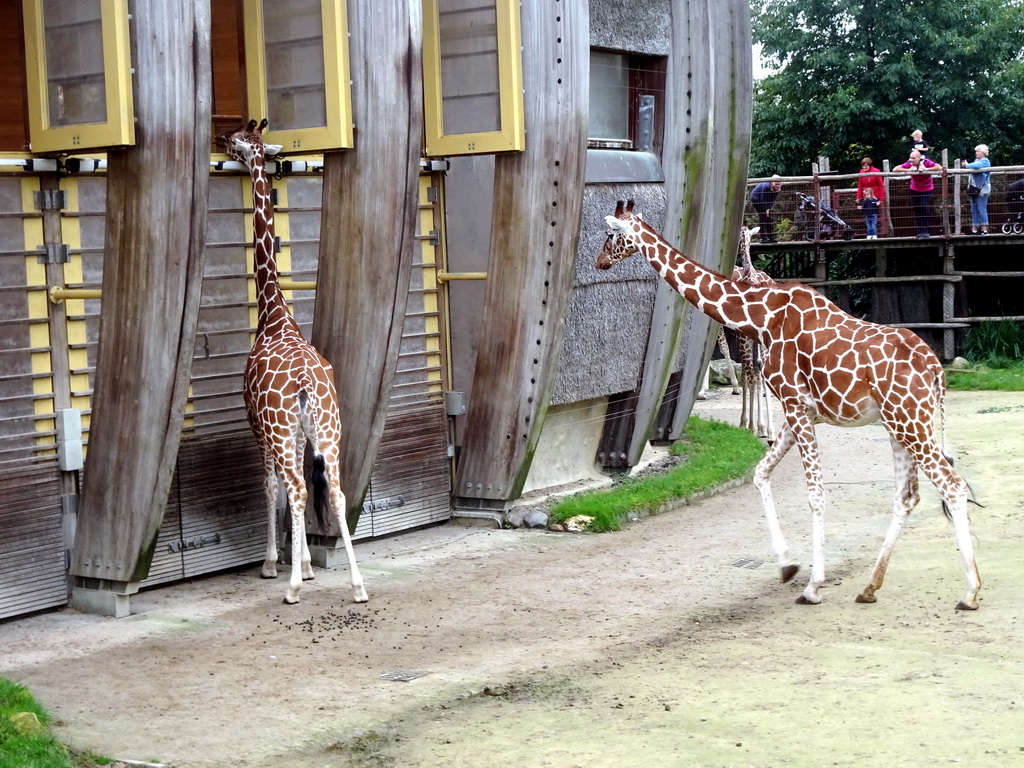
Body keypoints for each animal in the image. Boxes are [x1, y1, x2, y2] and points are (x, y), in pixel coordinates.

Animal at [223, 117, 368, 606]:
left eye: (237, 140)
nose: (219, 142)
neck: (273, 315)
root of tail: (305, 381)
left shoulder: (258, 424)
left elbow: (272, 488)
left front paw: (276, 565)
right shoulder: (304, 433)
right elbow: (297, 492)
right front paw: (304, 562)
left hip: (281, 428)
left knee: (298, 487)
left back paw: (290, 590)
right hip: (329, 426)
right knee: (336, 491)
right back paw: (358, 586)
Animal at [598, 199, 978, 614]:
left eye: (612, 234)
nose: (600, 261)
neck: (761, 317)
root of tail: (936, 369)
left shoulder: (795, 406)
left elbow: (815, 494)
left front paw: (812, 585)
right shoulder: (802, 412)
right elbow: (760, 474)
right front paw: (787, 566)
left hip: (911, 422)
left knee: (953, 485)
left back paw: (970, 593)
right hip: (899, 425)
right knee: (907, 496)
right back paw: (869, 587)